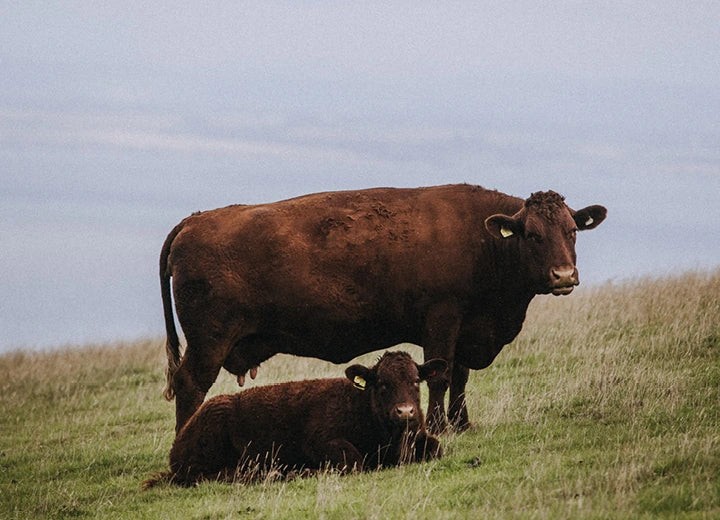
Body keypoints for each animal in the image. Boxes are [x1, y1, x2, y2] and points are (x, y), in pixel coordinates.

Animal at [143, 352, 446, 487]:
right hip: (204, 456)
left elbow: (437, 447)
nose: (405, 411)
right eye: (382, 384)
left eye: (416, 381)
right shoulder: (321, 441)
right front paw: (308, 471)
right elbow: (354, 461)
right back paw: (274, 473)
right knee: (211, 475)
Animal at [160, 184, 606, 433]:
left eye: (571, 230)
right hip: (209, 341)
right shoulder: (442, 320)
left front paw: (463, 424)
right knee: (190, 385)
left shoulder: (467, 327)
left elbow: (460, 378)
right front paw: (439, 426)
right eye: (532, 235)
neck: (482, 240)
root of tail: (194, 221)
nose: (563, 275)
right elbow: (441, 376)